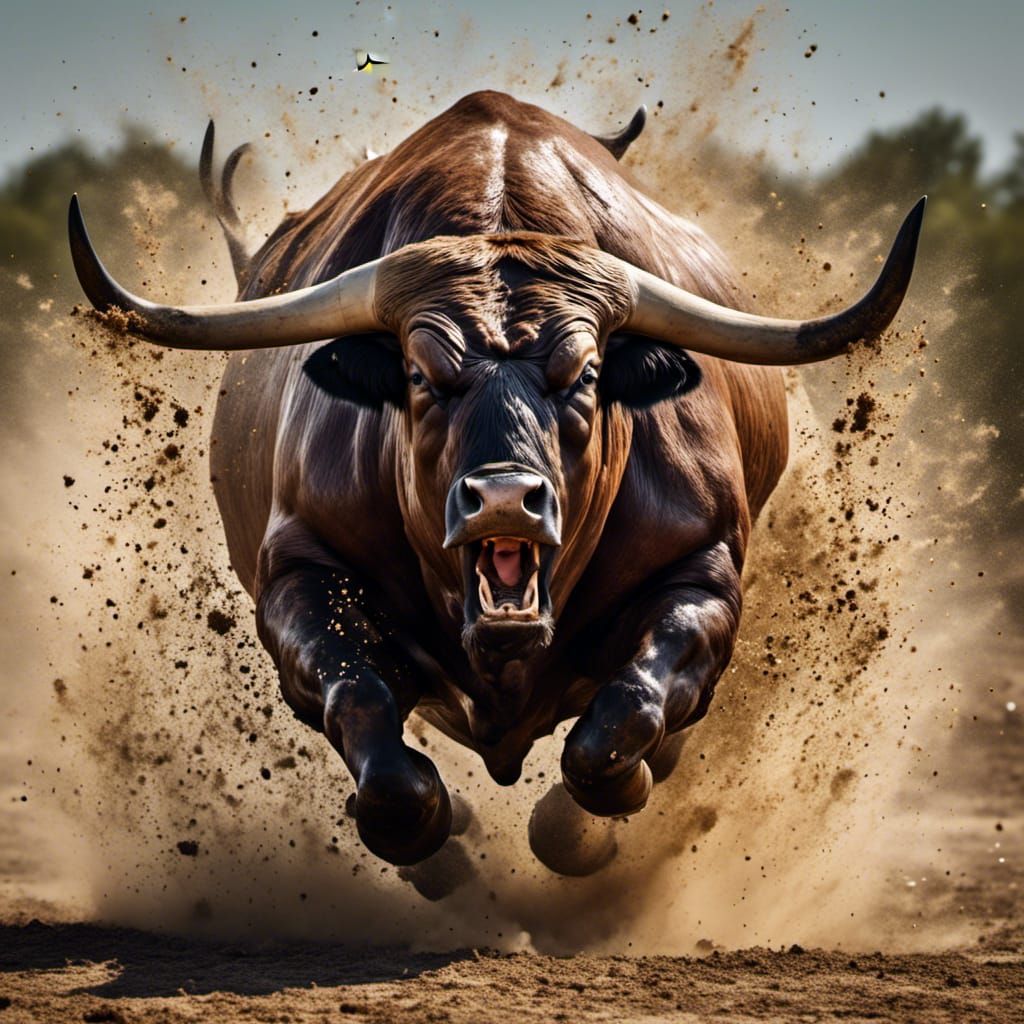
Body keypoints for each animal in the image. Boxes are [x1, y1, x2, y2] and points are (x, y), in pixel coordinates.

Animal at [68, 91, 924, 872]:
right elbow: (372, 726)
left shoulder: (703, 573)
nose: (506, 498)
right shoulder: (297, 573)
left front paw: (584, 822)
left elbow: (618, 729)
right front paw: (433, 834)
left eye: (585, 374)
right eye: (419, 373)